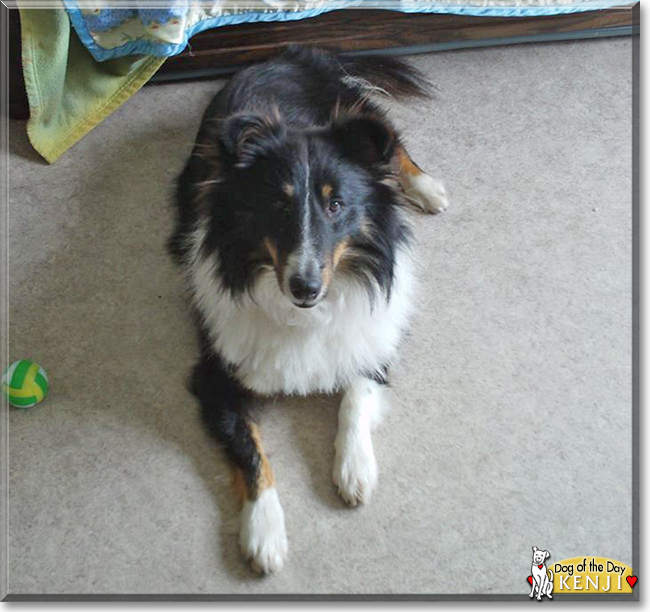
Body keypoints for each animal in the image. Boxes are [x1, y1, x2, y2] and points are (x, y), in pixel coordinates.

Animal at [170, 44, 448, 572]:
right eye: (277, 206)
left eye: (336, 204)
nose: (305, 286)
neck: (305, 315)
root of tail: (290, 53)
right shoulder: (215, 377)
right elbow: (250, 452)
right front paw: (264, 534)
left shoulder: (374, 345)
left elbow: (354, 396)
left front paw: (355, 471)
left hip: (358, 116)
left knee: (392, 145)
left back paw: (427, 188)